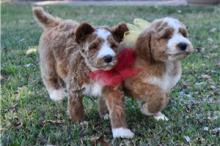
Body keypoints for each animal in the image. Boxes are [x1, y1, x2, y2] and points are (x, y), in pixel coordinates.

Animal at [31, 7, 133, 138]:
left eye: (113, 46)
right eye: (94, 47)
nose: (108, 58)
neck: (95, 70)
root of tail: (57, 23)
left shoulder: (112, 89)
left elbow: (117, 108)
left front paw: (121, 130)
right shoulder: (75, 87)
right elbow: (76, 107)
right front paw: (80, 122)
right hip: (48, 60)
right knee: (49, 77)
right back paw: (57, 94)